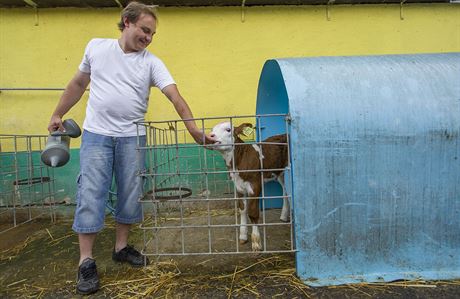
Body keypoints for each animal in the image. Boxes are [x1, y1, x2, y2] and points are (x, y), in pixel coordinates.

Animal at [209, 122, 290, 251]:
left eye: (228, 129)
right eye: (212, 129)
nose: (210, 136)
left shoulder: (255, 186)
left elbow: (252, 212)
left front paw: (256, 242)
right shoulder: (239, 186)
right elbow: (242, 210)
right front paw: (243, 236)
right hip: (280, 174)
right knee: (285, 191)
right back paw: (284, 216)